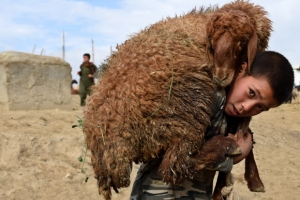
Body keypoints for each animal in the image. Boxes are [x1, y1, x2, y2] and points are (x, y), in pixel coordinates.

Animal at [82, 1, 272, 198]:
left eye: (242, 41)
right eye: (212, 42)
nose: (220, 77)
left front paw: (254, 180)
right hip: (185, 112)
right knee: (175, 167)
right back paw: (225, 145)